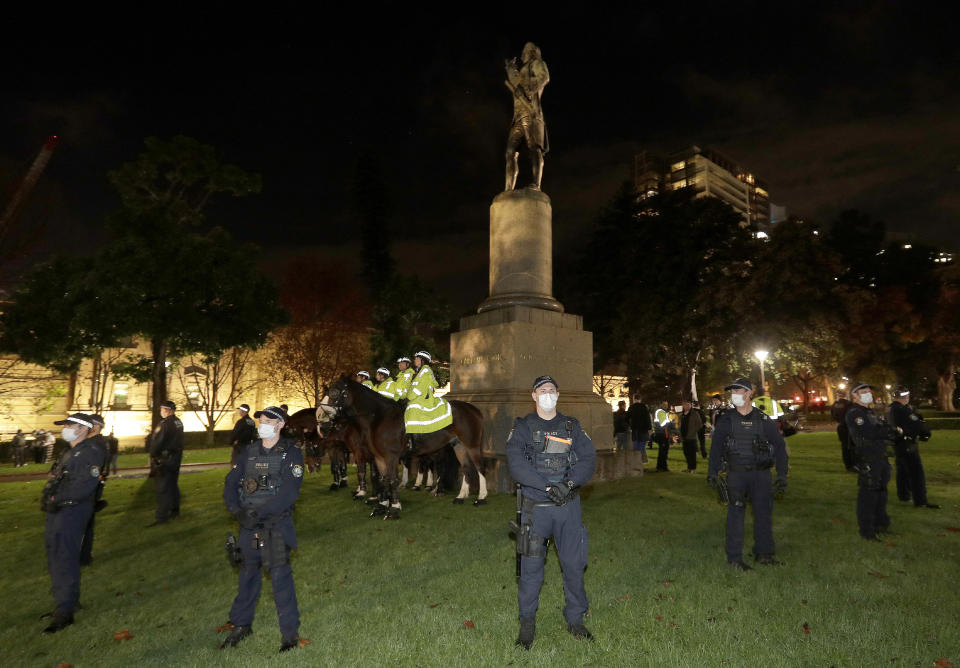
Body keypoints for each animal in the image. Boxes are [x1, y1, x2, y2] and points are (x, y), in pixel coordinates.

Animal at [328, 374, 488, 520]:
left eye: (335, 392)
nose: (325, 416)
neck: (379, 418)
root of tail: (474, 408)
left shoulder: (390, 457)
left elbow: (392, 479)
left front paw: (394, 509)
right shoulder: (379, 458)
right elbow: (383, 479)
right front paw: (381, 506)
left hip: (471, 445)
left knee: (480, 467)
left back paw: (481, 498)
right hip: (458, 446)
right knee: (466, 468)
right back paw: (460, 496)